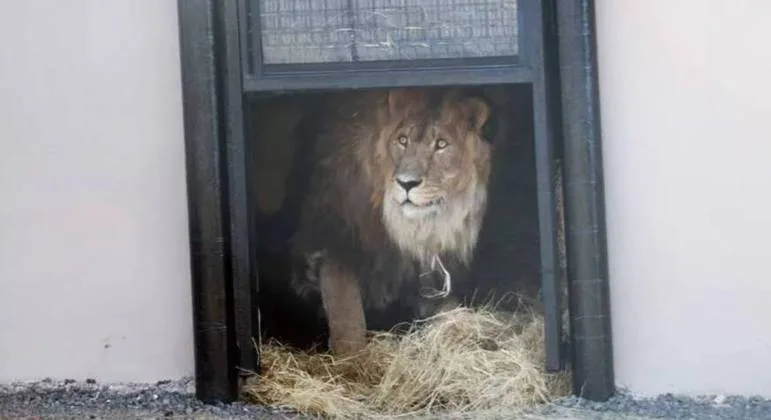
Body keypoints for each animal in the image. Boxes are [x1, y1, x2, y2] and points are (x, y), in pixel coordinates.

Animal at [290, 88, 494, 354]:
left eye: (441, 144)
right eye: (402, 140)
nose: (407, 183)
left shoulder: (428, 268)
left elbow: (447, 307)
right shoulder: (334, 238)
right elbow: (346, 310)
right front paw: (352, 358)